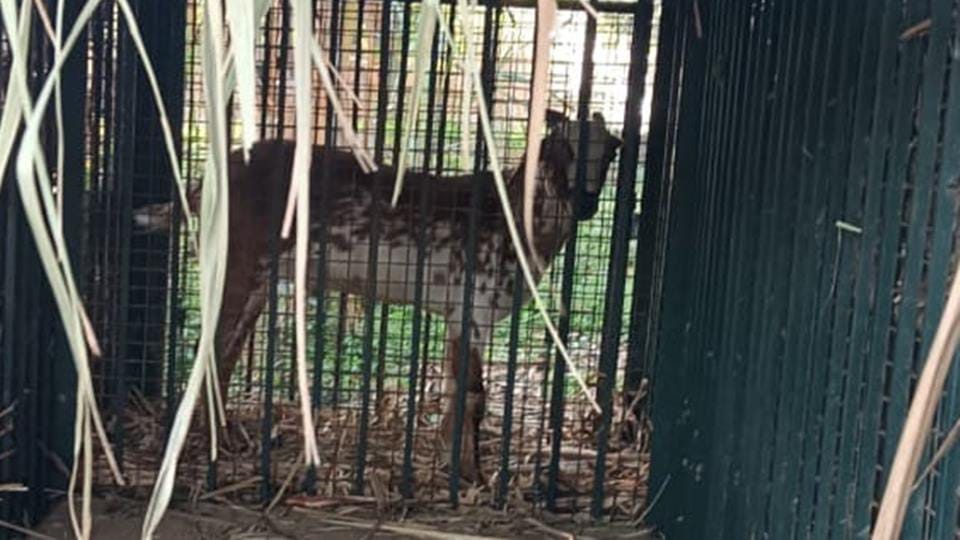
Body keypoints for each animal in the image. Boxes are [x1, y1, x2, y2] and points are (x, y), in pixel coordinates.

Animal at [134, 110, 622, 481]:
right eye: (559, 150)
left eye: (612, 150)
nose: (586, 204)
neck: (515, 222)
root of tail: (208, 180)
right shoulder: (474, 305)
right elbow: (474, 397)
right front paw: (471, 475)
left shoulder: (457, 315)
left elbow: (458, 392)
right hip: (238, 263)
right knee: (212, 348)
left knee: (227, 351)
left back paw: (230, 437)